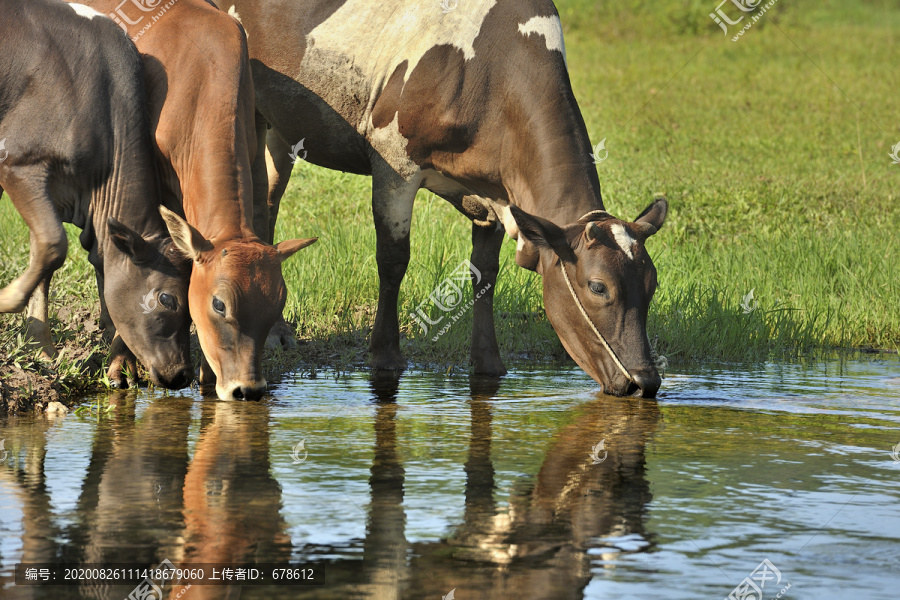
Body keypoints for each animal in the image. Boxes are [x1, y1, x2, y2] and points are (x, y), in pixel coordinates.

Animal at [0, 0, 192, 390]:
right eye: (167, 299)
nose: (183, 374)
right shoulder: (19, 159)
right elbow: (53, 244)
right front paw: (7, 299)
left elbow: (43, 259)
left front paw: (41, 349)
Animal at [216, 2, 668, 400]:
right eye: (598, 287)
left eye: (652, 285)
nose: (644, 382)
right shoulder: (394, 160)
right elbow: (393, 259)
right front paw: (385, 354)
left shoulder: (495, 192)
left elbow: (485, 272)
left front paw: (488, 362)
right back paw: (275, 331)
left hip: (281, 127)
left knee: (267, 203)